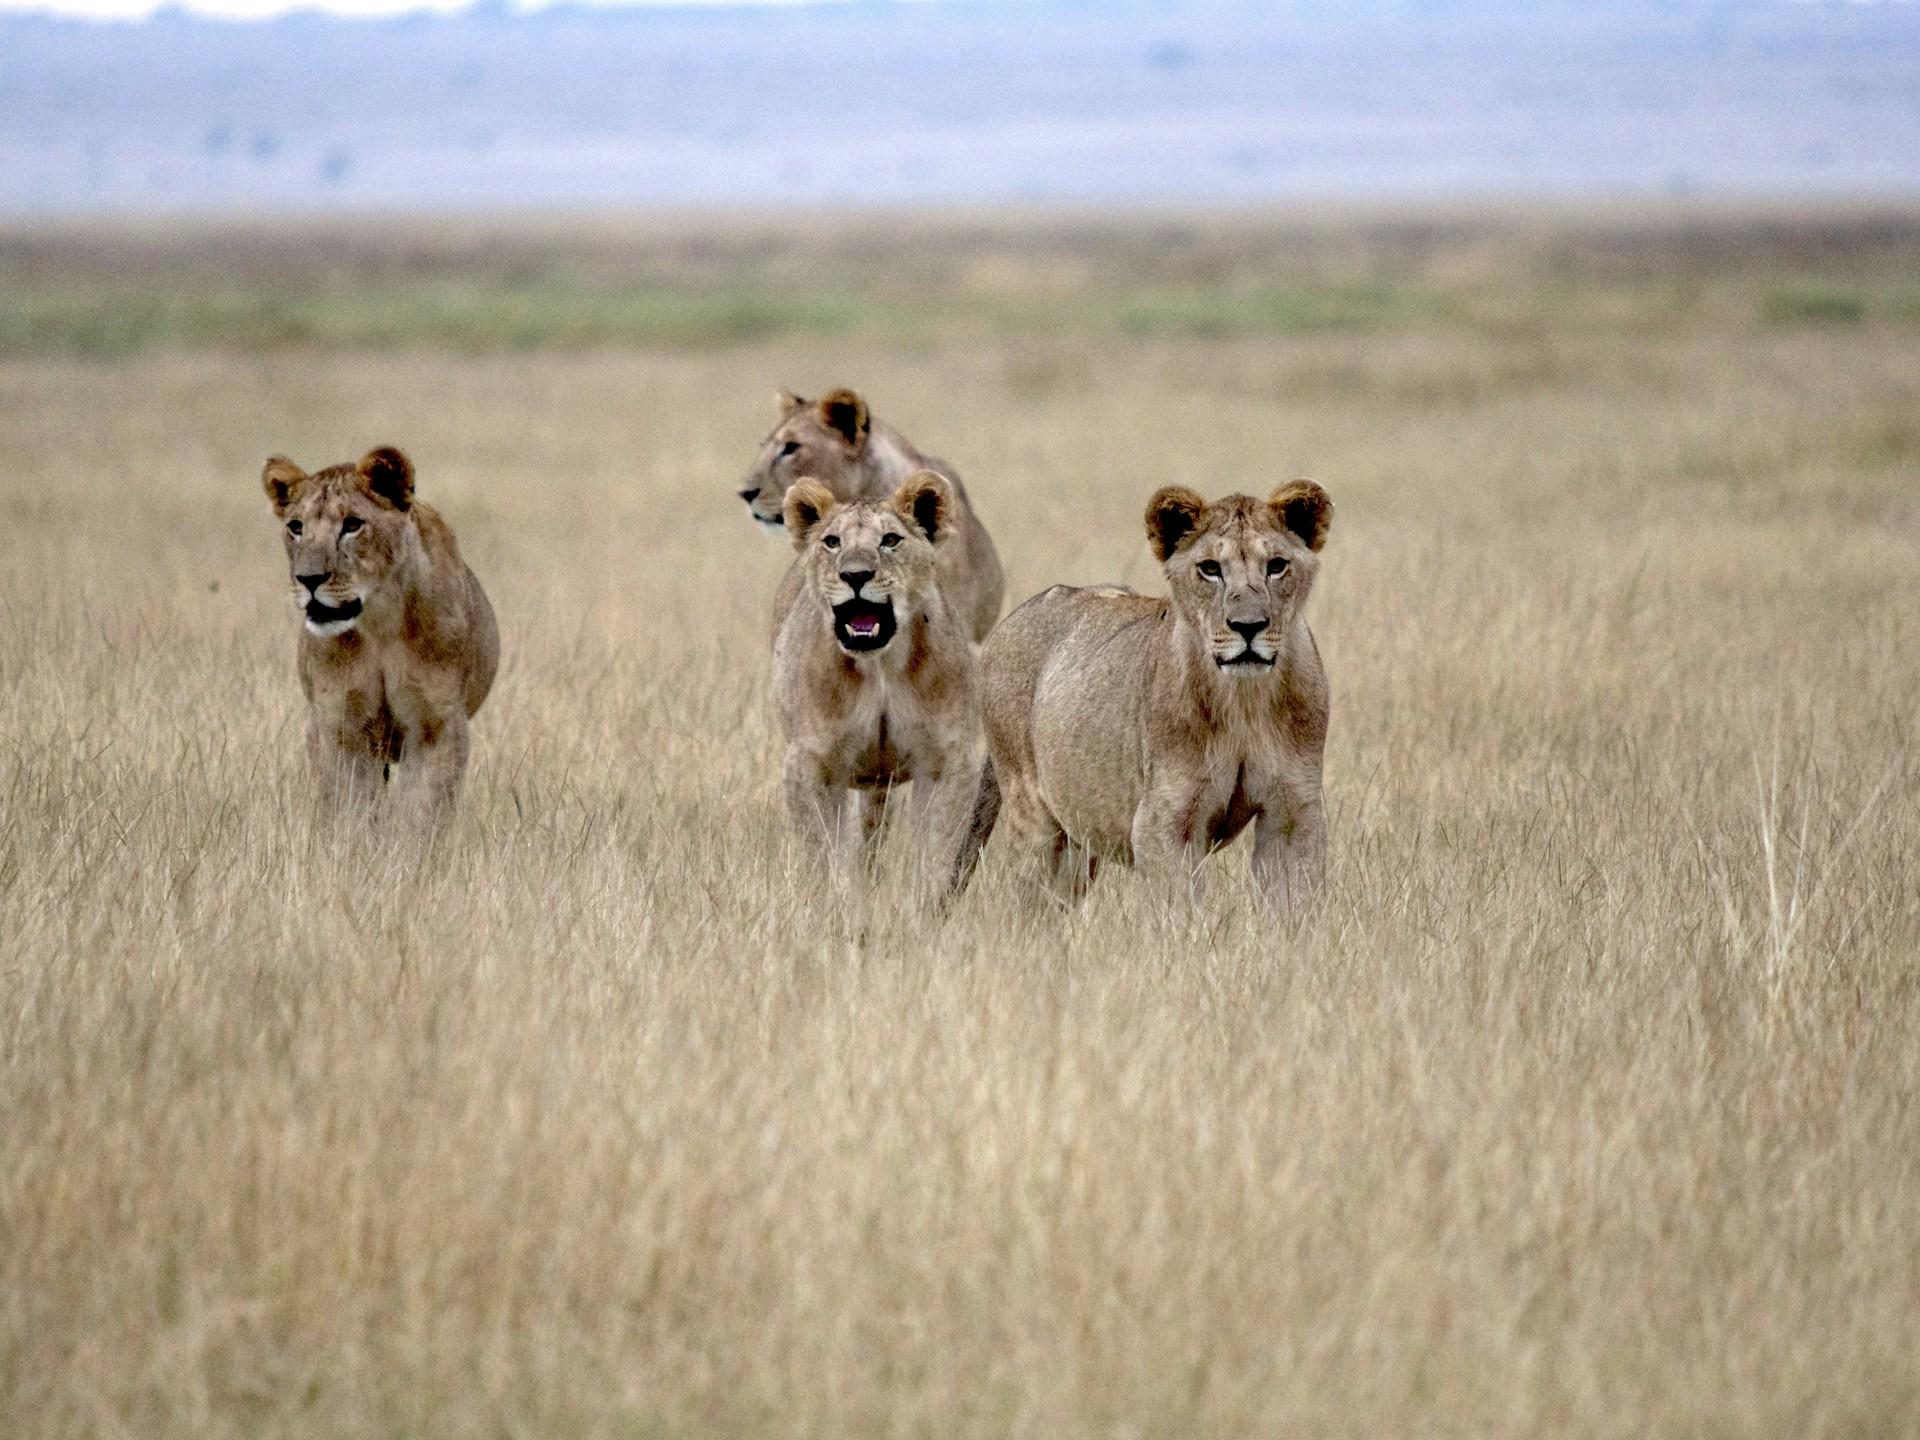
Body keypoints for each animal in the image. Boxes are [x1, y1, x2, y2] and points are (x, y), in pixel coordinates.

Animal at [261, 446, 499, 816]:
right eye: (296, 527)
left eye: (352, 525)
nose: (308, 579)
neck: (379, 625)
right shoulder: (339, 724)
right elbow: (350, 805)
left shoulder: (437, 725)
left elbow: (421, 811)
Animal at [772, 468, 980, 870]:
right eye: (832, 542)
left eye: (890, 540)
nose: (855, 575)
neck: (880, 668)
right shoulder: (810, 764)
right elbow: (823, 856)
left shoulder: (947, 762)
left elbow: (935, 854)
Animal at [948, 480, 1334, 909]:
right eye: (1210, 568)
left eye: (1277, 565)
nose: (1247, 626)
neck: (1243, 702)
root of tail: (1011, 620)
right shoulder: (1165, 820)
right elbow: (1181, 908)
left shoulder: (1293, 813)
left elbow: (1292, 907)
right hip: (1033, 818)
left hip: (1079, 841)